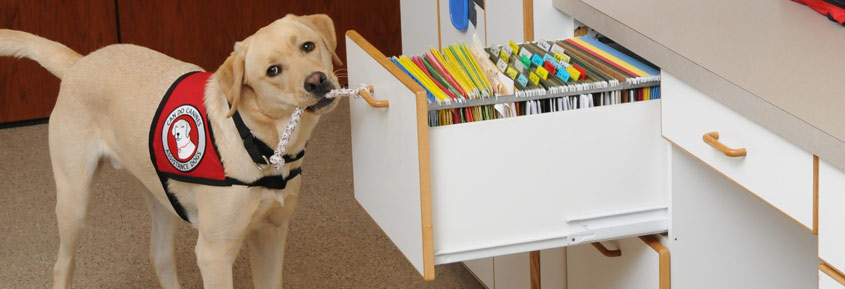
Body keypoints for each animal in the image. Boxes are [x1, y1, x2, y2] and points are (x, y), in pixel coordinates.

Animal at [1, 14, 342, 288]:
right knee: (62, 264)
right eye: (273, 70)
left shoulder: (271, 233)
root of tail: (79, 62)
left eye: (308, 46)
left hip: (160, 193)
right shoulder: (214, 255)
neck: (258, 141)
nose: (317, 81)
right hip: (74, 202)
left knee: (159, 256)